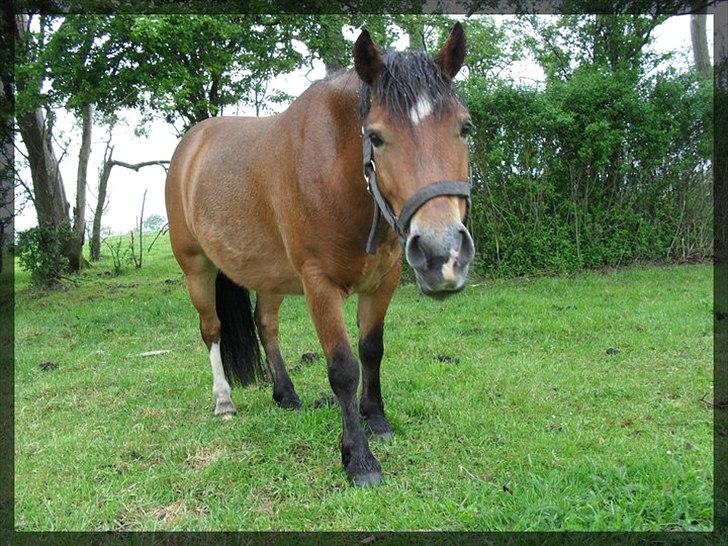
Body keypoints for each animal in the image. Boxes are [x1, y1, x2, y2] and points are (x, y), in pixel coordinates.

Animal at [164, 23, 478, 484]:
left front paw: (376, 419)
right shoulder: (319, 286)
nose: (443, 255)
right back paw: (224, 401)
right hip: (197, 270)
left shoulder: (383, 281)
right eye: (375, 136)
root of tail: (191, 145)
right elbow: (343, 368)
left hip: (270, 273)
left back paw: (285, 394)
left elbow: (371, 350)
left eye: (465, 128)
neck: (336, 176)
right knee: (212, 329)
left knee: (266, 323)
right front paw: (359, 458)